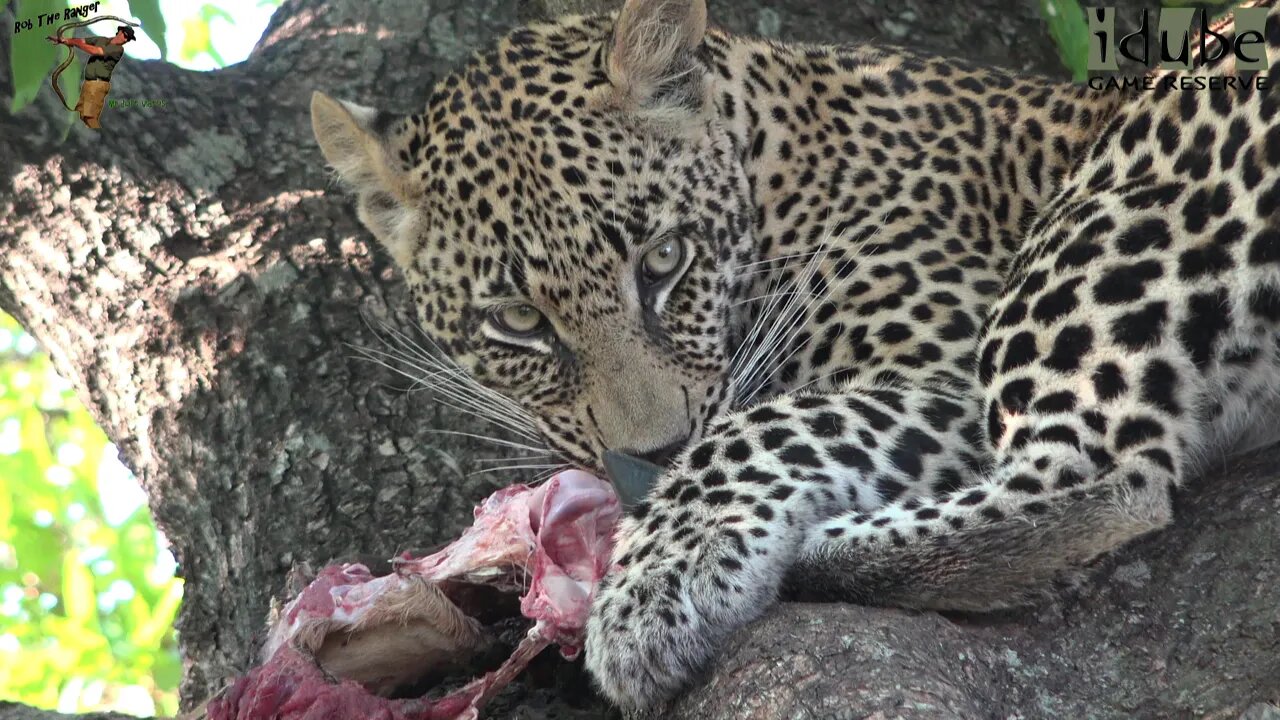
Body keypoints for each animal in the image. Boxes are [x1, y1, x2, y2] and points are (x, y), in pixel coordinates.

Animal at [307, 0, 1280, 707]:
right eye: (516, 321)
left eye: (665, 260)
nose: (648, 455)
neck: (772, 161)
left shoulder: (940, 365)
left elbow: (754, 429)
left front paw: (654, 583)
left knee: (1098, 477)